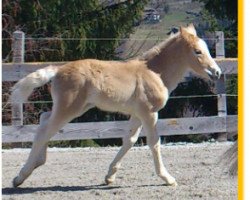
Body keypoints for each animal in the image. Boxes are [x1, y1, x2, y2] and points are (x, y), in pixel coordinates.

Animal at [11, 23, 221, 188]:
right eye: (197, 51)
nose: (217, 72)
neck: (155, 72)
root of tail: (58, 69)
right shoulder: (149, 113)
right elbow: (154, 142)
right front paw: (168, 178)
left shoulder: (137, 114)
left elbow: (129, 140)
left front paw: (110, 176)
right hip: (69, 108)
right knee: (44, 130)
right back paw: (20, 176)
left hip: (75, 107)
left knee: (44, 119)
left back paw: (35, 164)